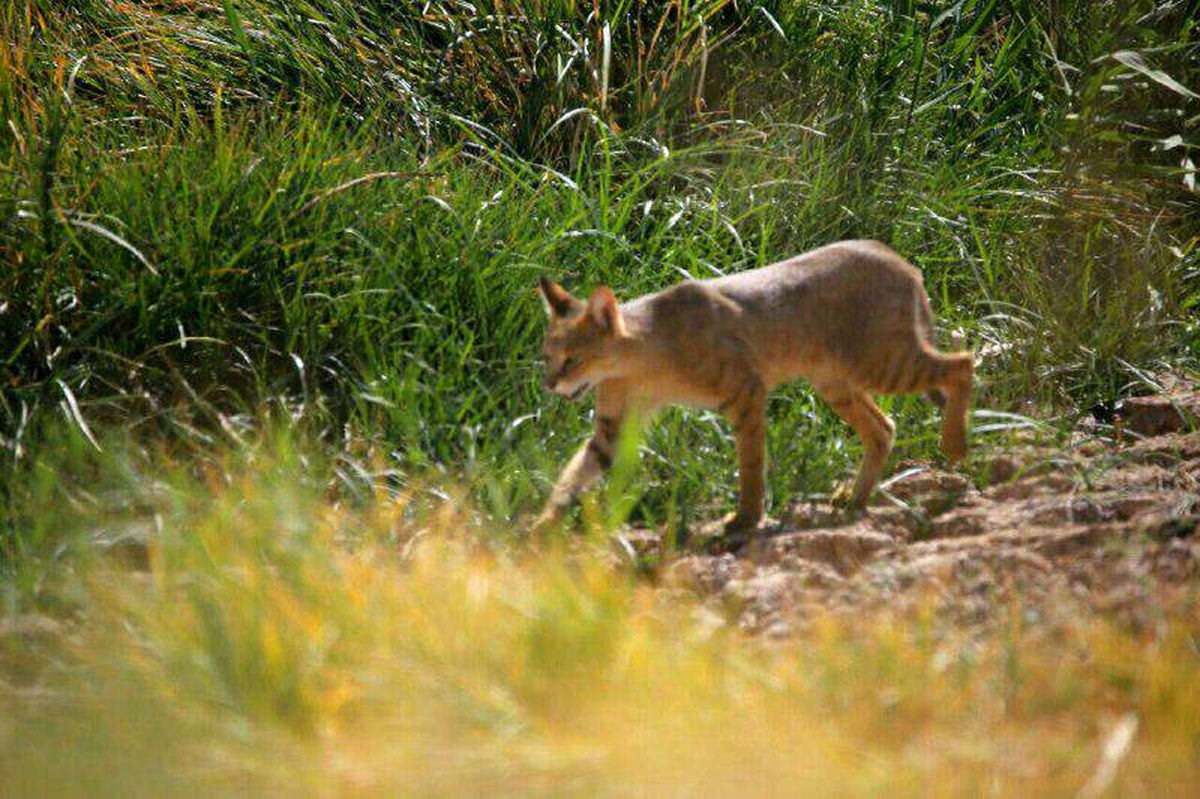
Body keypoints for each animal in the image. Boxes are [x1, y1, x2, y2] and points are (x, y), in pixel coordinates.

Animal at [535, 237, 974, 535]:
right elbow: (573, 476)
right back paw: (853, 500)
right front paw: (543, 525)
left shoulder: (746, 391)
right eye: (547, 356)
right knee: (884, 428)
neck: (642, 360)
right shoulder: (613, 428)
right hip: (836, 381)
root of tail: (898, 258)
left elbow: (750, 461)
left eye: (572, 360)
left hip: (882, 362)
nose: (550, 384)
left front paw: (746, 517)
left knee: (962, 364)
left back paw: (954, 445)